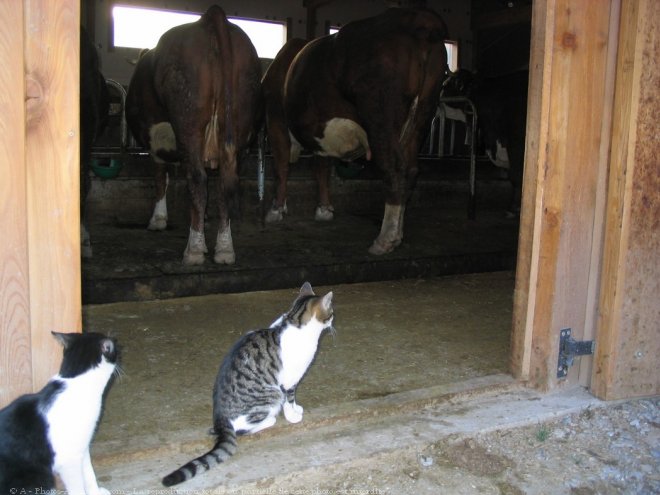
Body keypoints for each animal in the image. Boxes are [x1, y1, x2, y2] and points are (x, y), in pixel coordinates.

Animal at [0, 332, 117, 494]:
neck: (76, 381)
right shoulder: (68, 461)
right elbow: (77, 487)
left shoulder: (82, 447)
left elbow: (89, 473)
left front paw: (96, 492)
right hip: (41, 478)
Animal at [162, 282, 332, 488]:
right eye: (331, 312)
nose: (333, 322)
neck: (295, 319)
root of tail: (220, 417)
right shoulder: (288, 381)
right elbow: (290, 398)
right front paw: (293, 415)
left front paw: (296, 409)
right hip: (272, 394)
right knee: (243, 428)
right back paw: (270, 420)